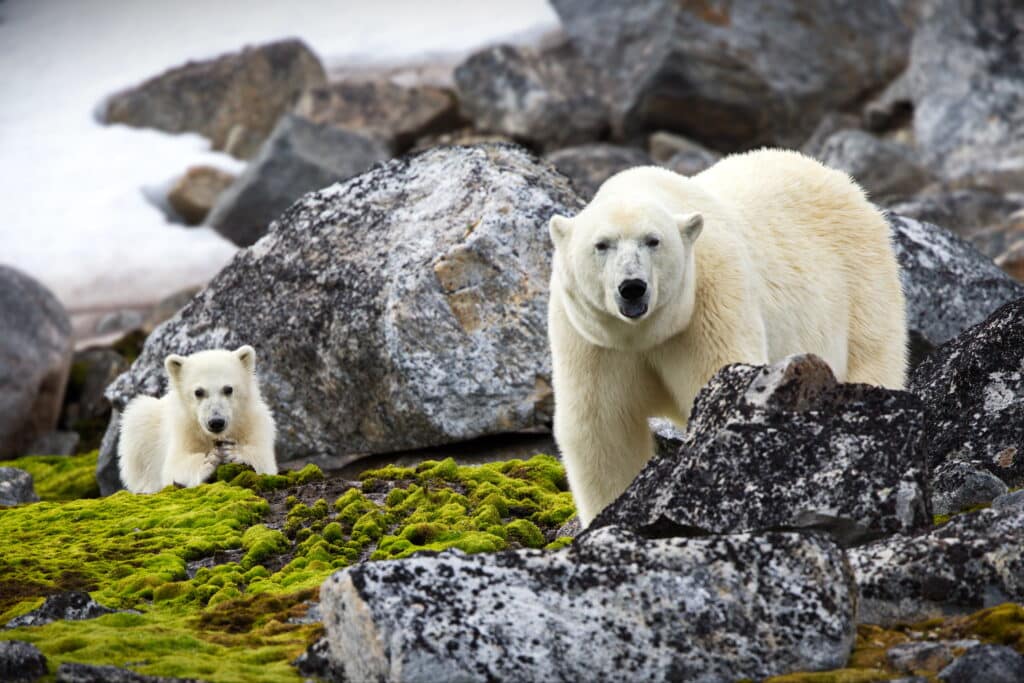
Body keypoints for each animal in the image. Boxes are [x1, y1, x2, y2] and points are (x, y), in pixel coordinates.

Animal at [118, 345, 278, 493]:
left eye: (228, 389)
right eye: (198, 392)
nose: (216, 422)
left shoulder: (254, 423)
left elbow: (265, 461)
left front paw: (234, 452)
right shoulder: (183, 428)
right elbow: (174, 464)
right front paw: (208, 462)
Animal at [548, 149, 907, 526]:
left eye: (653, 240)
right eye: (602, 245)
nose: (632, 287)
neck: (646, 332)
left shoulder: (710, 300)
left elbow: (716, 386)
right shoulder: (592, 338)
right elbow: (602, 427)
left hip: (862, 286)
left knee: (873, 358)